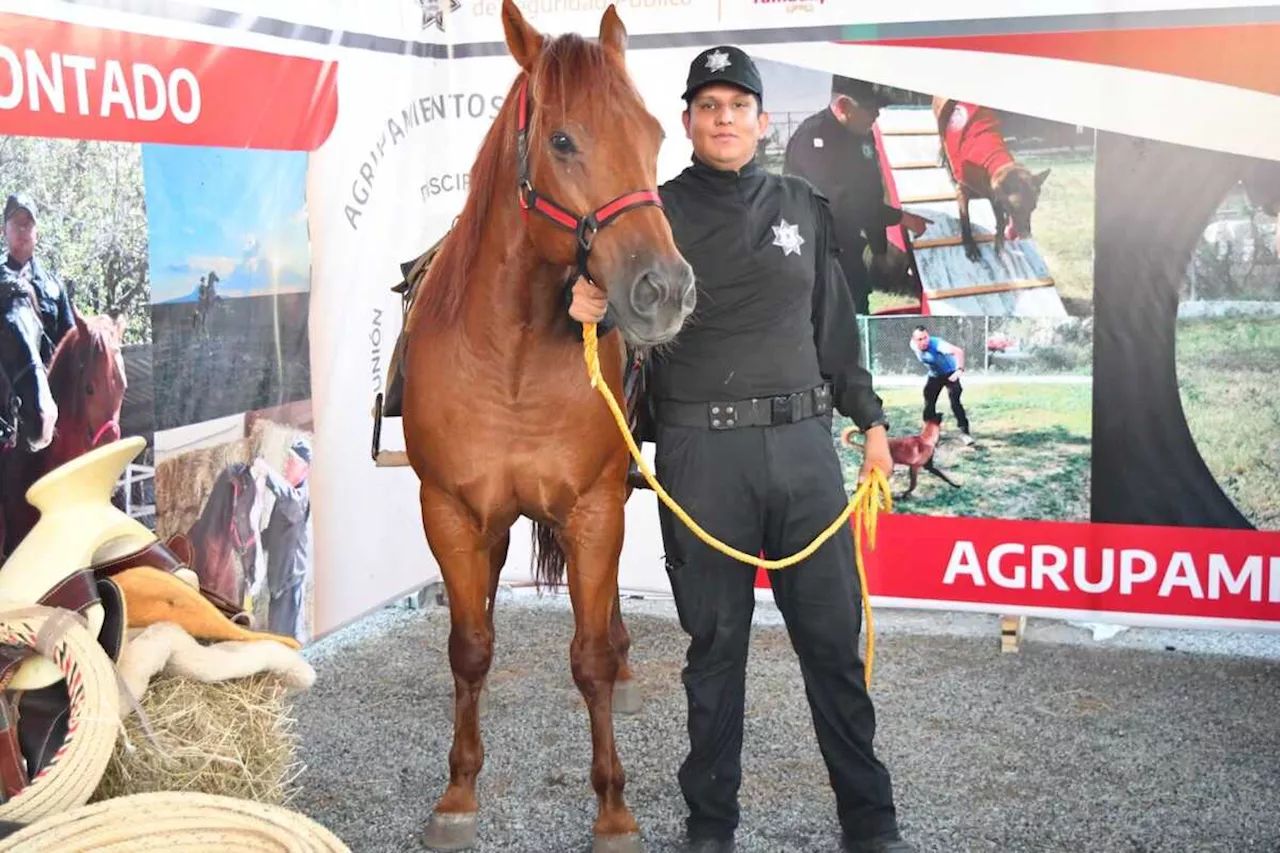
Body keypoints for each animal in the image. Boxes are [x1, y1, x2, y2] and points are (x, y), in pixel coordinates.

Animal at [404, 3, 696, 845]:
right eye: (563, 140)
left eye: (654, 133)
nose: (664, 289)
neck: (511, 357)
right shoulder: (451, 511)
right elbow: (469, 647)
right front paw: (458, 790)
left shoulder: (595, 508)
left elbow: (589, 654)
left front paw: (613, 805)